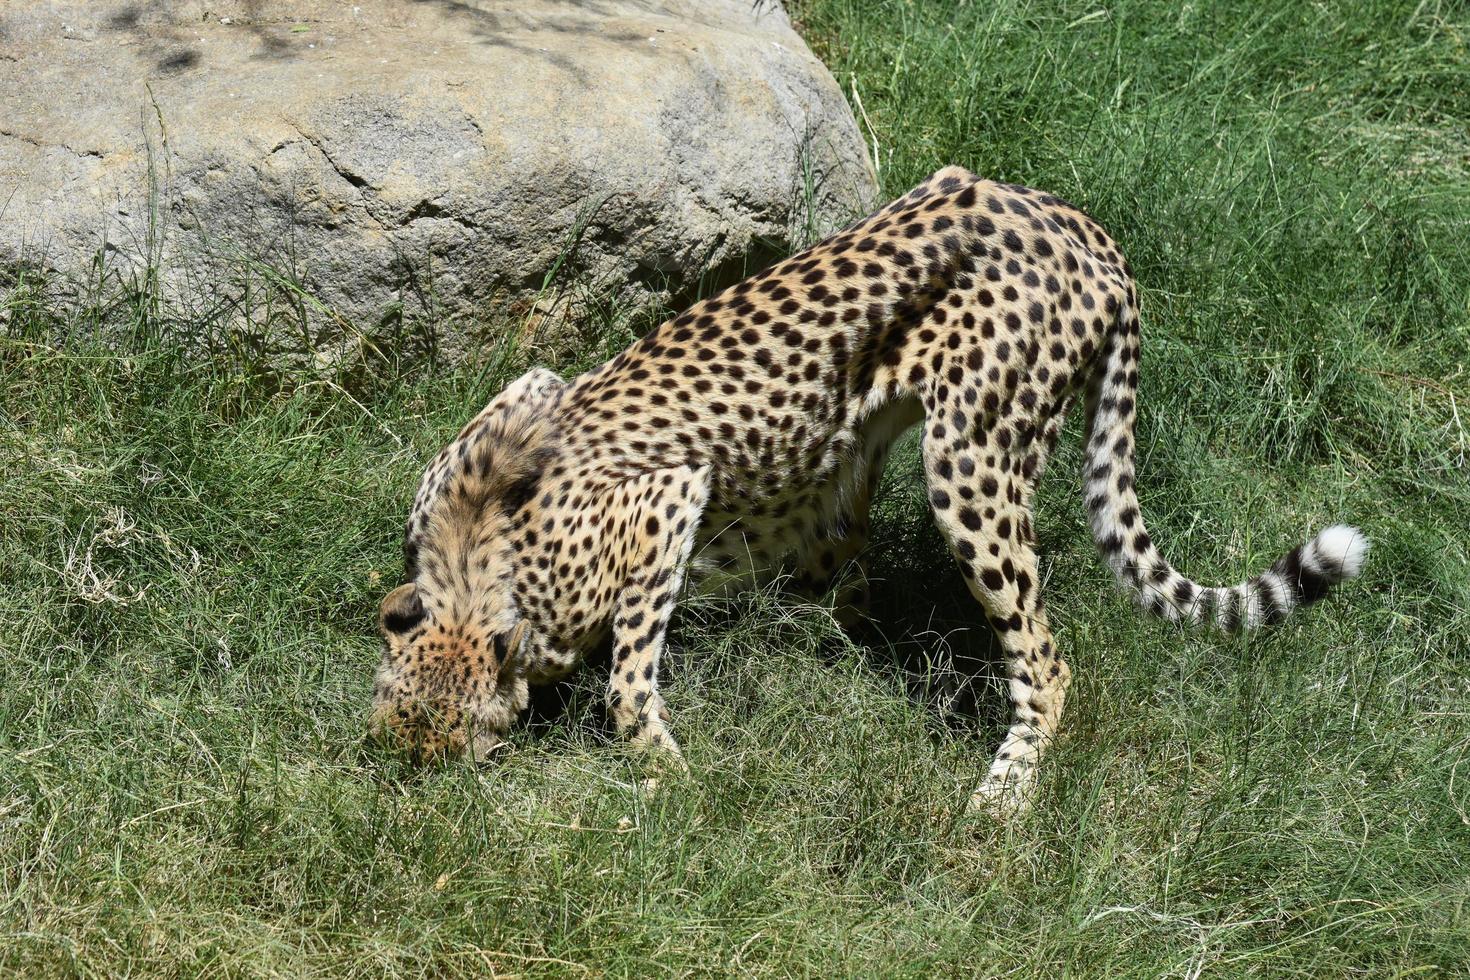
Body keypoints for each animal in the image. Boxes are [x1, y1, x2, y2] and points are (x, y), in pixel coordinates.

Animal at [370, 166, 1364, 811]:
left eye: (460, 746)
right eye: (398, 732)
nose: (416, 785)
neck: (469, 566)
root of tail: (1089, 231)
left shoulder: (668, 501)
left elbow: (626, 685)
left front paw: (673, 781)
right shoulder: (531, 390)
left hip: (972, 459)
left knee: (1045, 661)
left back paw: (1002, 799)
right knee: (846, 550)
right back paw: (817, 646)